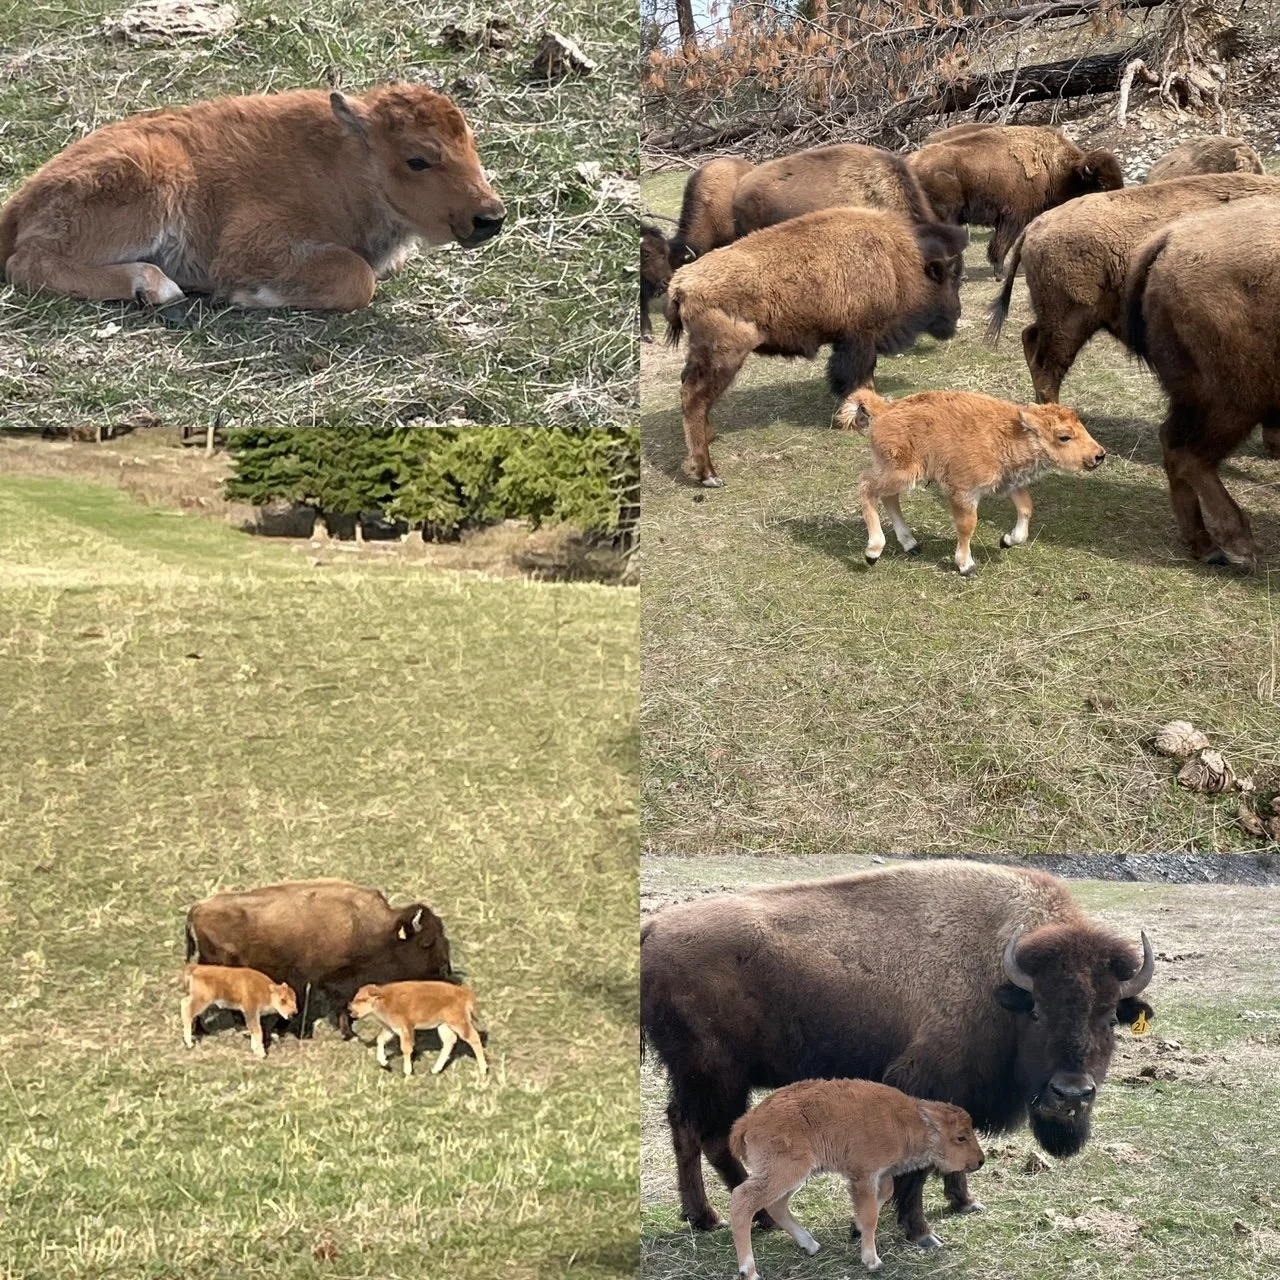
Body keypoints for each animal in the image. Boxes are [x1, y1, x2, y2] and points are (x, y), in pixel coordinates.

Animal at [641, 861, 1154, 1245]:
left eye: (1111, 1019)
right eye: (1038, 1013)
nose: (1071, 1095)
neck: (1000, 979)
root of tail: (654, 926)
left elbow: (958, 1146)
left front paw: (964, 1202)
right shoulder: (922, 1082)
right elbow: (922, 1162)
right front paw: (921, 1232)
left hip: (701, 1077)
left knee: (687, 1130)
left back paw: (708, 1217)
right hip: (716, 1076)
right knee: (708, 1136)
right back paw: (745, 1217)